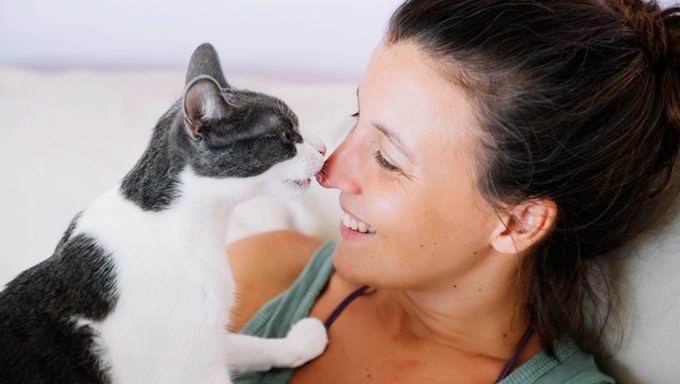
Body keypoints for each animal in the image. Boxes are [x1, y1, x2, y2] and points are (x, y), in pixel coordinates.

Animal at [0, 42, 330, 384]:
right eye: (287, 135)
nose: (323, 147)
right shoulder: (194, 364)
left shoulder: (206, 343)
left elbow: (244, 343)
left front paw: (298, 342)